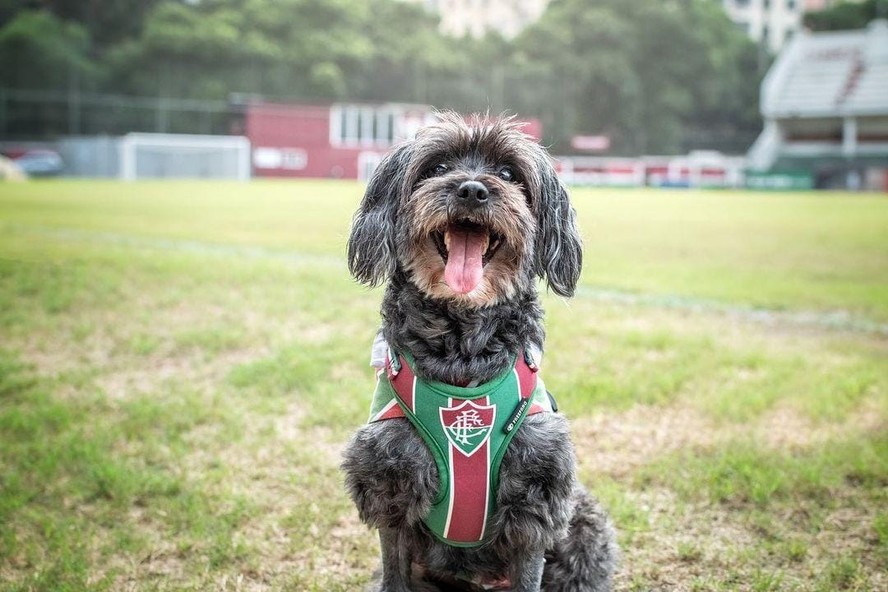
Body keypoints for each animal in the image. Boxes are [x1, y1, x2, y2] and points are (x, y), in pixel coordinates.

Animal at [340, 112, 616, 592]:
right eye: (435, 168)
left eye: (508, 173)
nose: (472, 189)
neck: (462, 353)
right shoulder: (391, 482)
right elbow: (394, 570)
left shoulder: (535, 496)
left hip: (586, 526)